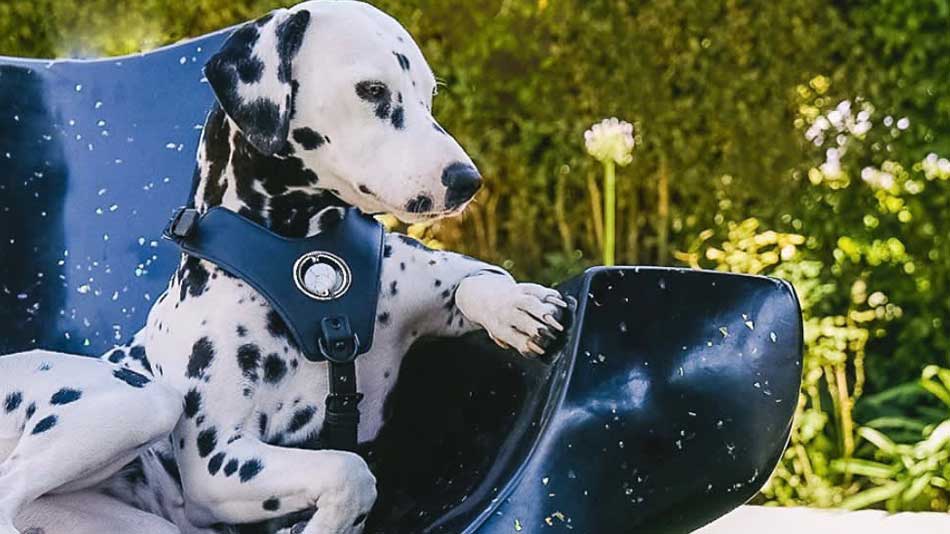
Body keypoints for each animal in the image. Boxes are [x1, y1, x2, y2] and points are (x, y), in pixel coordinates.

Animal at [0, 2, 568, 532]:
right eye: (372, 89)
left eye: (428, 93)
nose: (466, 180)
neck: (306, 258)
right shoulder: (218, 461)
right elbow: (350, 472)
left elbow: (478, 278)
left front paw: (518, 308)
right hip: (141, 401)